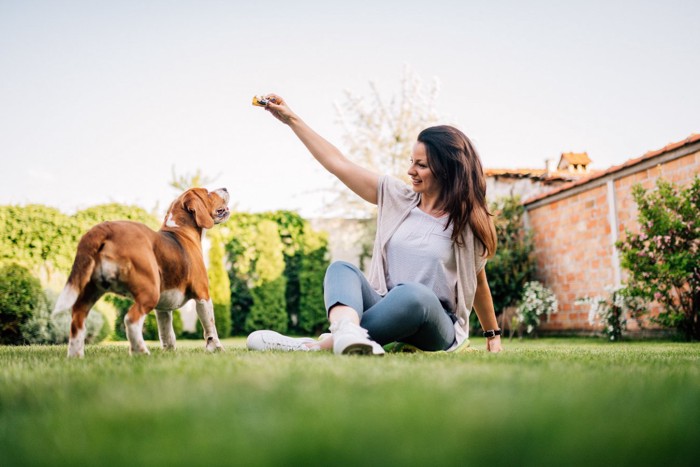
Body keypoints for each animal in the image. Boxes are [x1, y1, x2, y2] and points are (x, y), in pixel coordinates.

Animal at [53, 186, 232, 358]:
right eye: (207, 192)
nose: (225, 188)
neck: (180, 231)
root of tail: (105, 228)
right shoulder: (203, 295)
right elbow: (210, 327)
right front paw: (216, 348)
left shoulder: (163, 307)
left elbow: (167, 334)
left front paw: (169, 353)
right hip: (149, 293)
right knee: (131, 320)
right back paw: (141, 352)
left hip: (91, 290)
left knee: (77, 319)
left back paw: (75, 355)